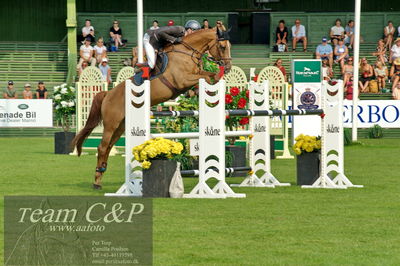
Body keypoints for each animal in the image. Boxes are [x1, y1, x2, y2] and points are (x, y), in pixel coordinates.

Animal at [71, 28, 231, 188]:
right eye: (222, 47)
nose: (228, 68)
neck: (187, 52)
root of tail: (108, 94)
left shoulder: (191, 78)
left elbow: (206, 76)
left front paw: (204, 89)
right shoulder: (183, 80)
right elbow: (208, 76)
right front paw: (213, 85)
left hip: (121, 125)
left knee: (109, 146)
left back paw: (101, 174)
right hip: (111, 124)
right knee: (102, 147)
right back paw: (97, 180)